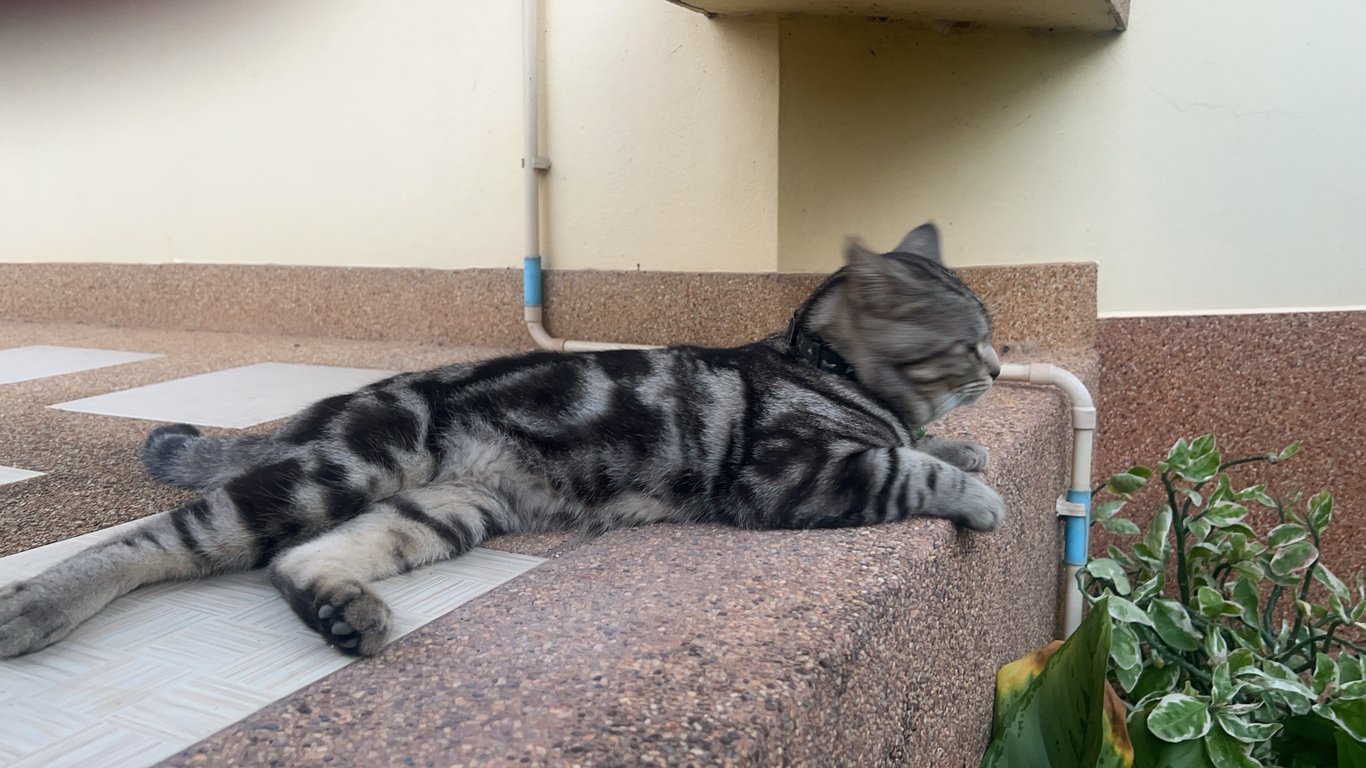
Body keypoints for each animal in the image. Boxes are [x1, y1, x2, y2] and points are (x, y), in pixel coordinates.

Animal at [0, 222, 1003, 659]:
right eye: (970, 340)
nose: (1001, 365)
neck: (822, 362)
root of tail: (325, 411)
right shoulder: (796, 473)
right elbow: (903, 466)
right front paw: (979, 492)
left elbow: (927, 446)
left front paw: (969, 451)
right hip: (348, 466)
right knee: (160, 541)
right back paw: (39, 606)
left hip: (444, 510)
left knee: (299, 560)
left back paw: (343, 612)